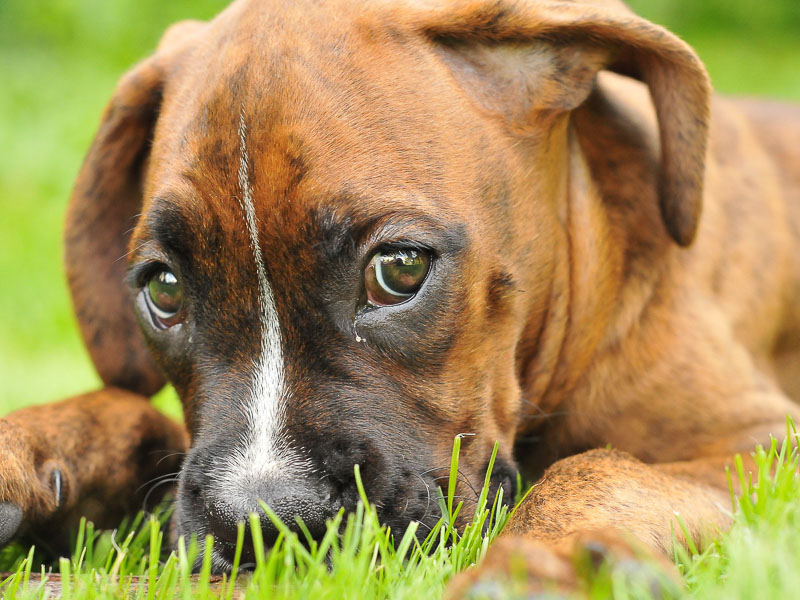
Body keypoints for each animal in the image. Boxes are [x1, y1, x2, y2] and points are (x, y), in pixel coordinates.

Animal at [1, 0, 800, 592]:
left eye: (402, 270)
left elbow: (601, 470)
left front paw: (540, 564)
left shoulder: (758, 443)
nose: (260, 521)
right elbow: (133, 412)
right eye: (164, 289)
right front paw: (31, 445)